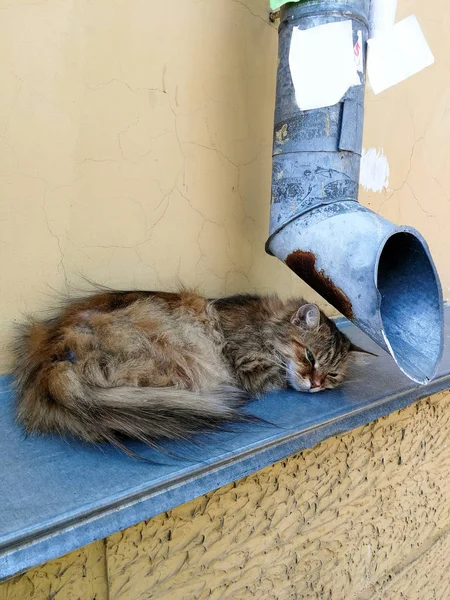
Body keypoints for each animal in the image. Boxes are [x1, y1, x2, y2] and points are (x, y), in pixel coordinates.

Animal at [11, 290, 370, 450]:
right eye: (309, 356)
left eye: (332, 375)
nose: (316, 384)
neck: (265, 324)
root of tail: (53, 354)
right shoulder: (247, 363)